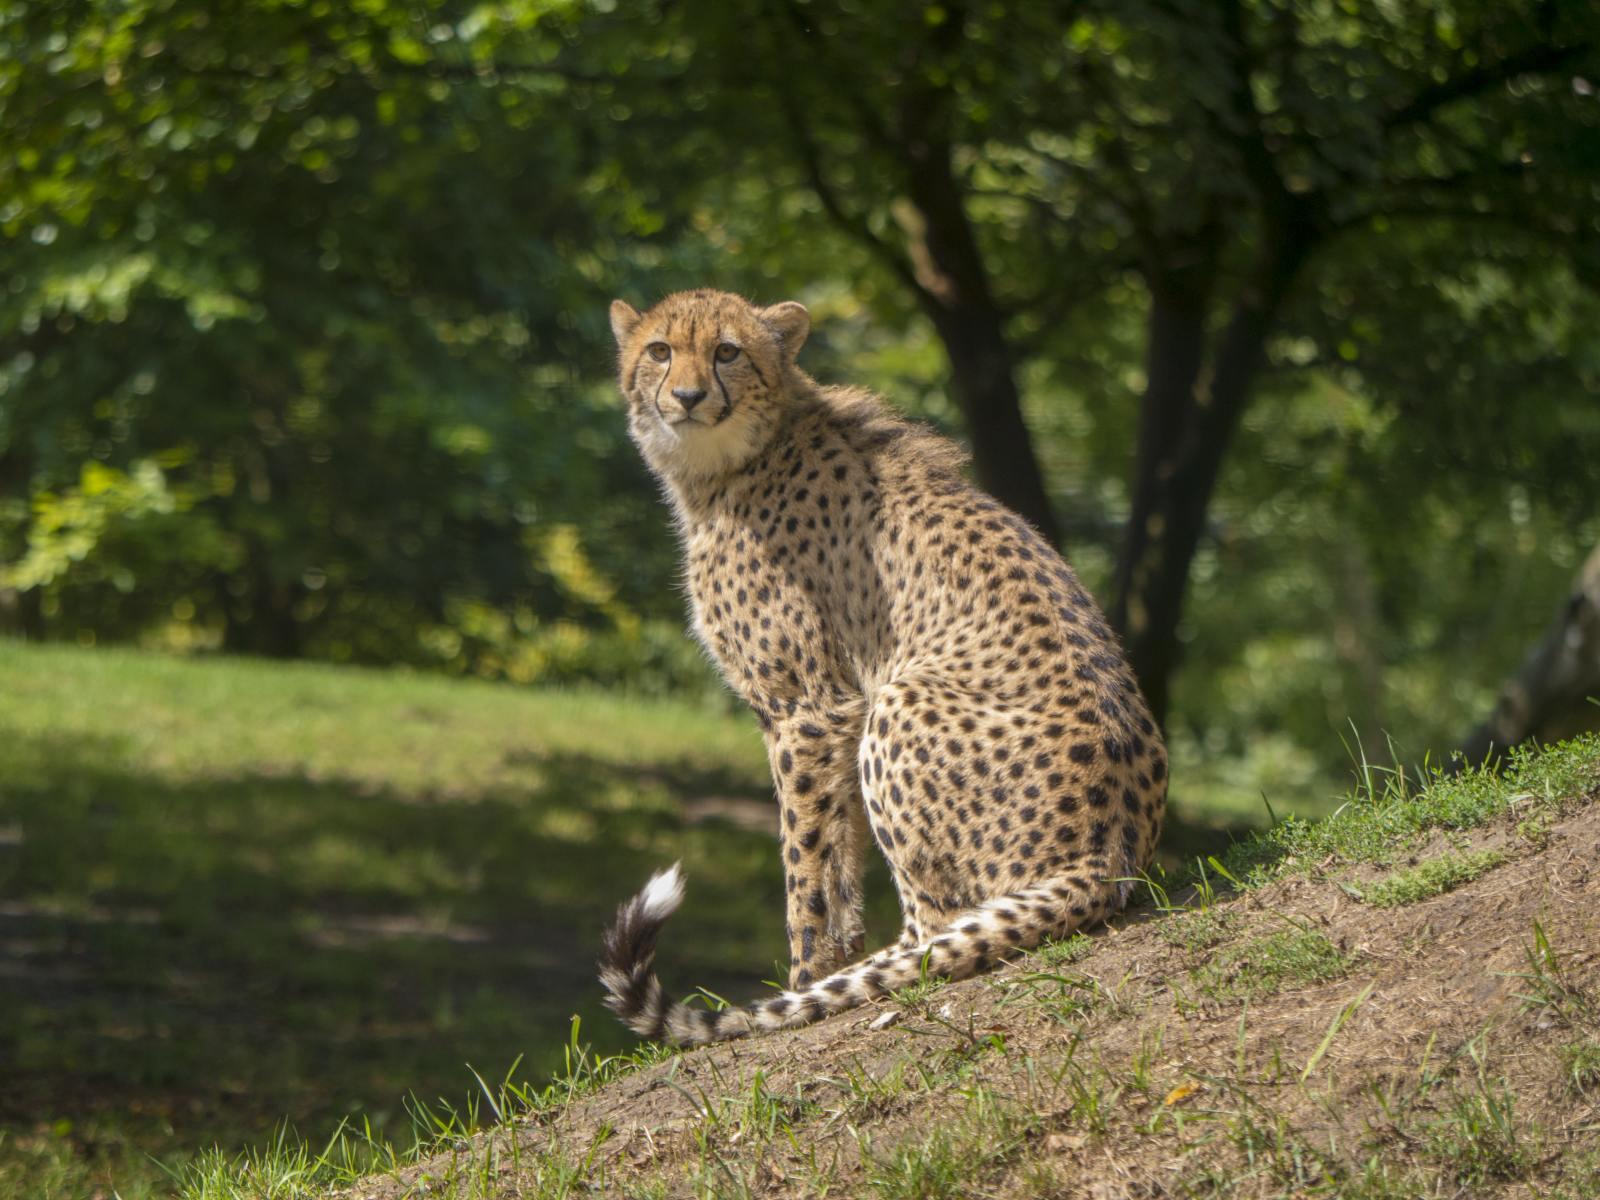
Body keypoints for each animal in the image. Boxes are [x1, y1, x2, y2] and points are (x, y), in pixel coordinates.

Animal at [598, 289, 1167, 1046]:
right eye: (660, 351)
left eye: (727, 351)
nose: (687, 397)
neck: (739, 454)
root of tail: (1114, 853)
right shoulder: (832, 715)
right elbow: (838, 860)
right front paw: (833, 963)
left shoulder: (806, 708)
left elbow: (805, 864)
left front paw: (806, 981)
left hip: (901, 699)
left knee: (939, 923)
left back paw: (867, 978)